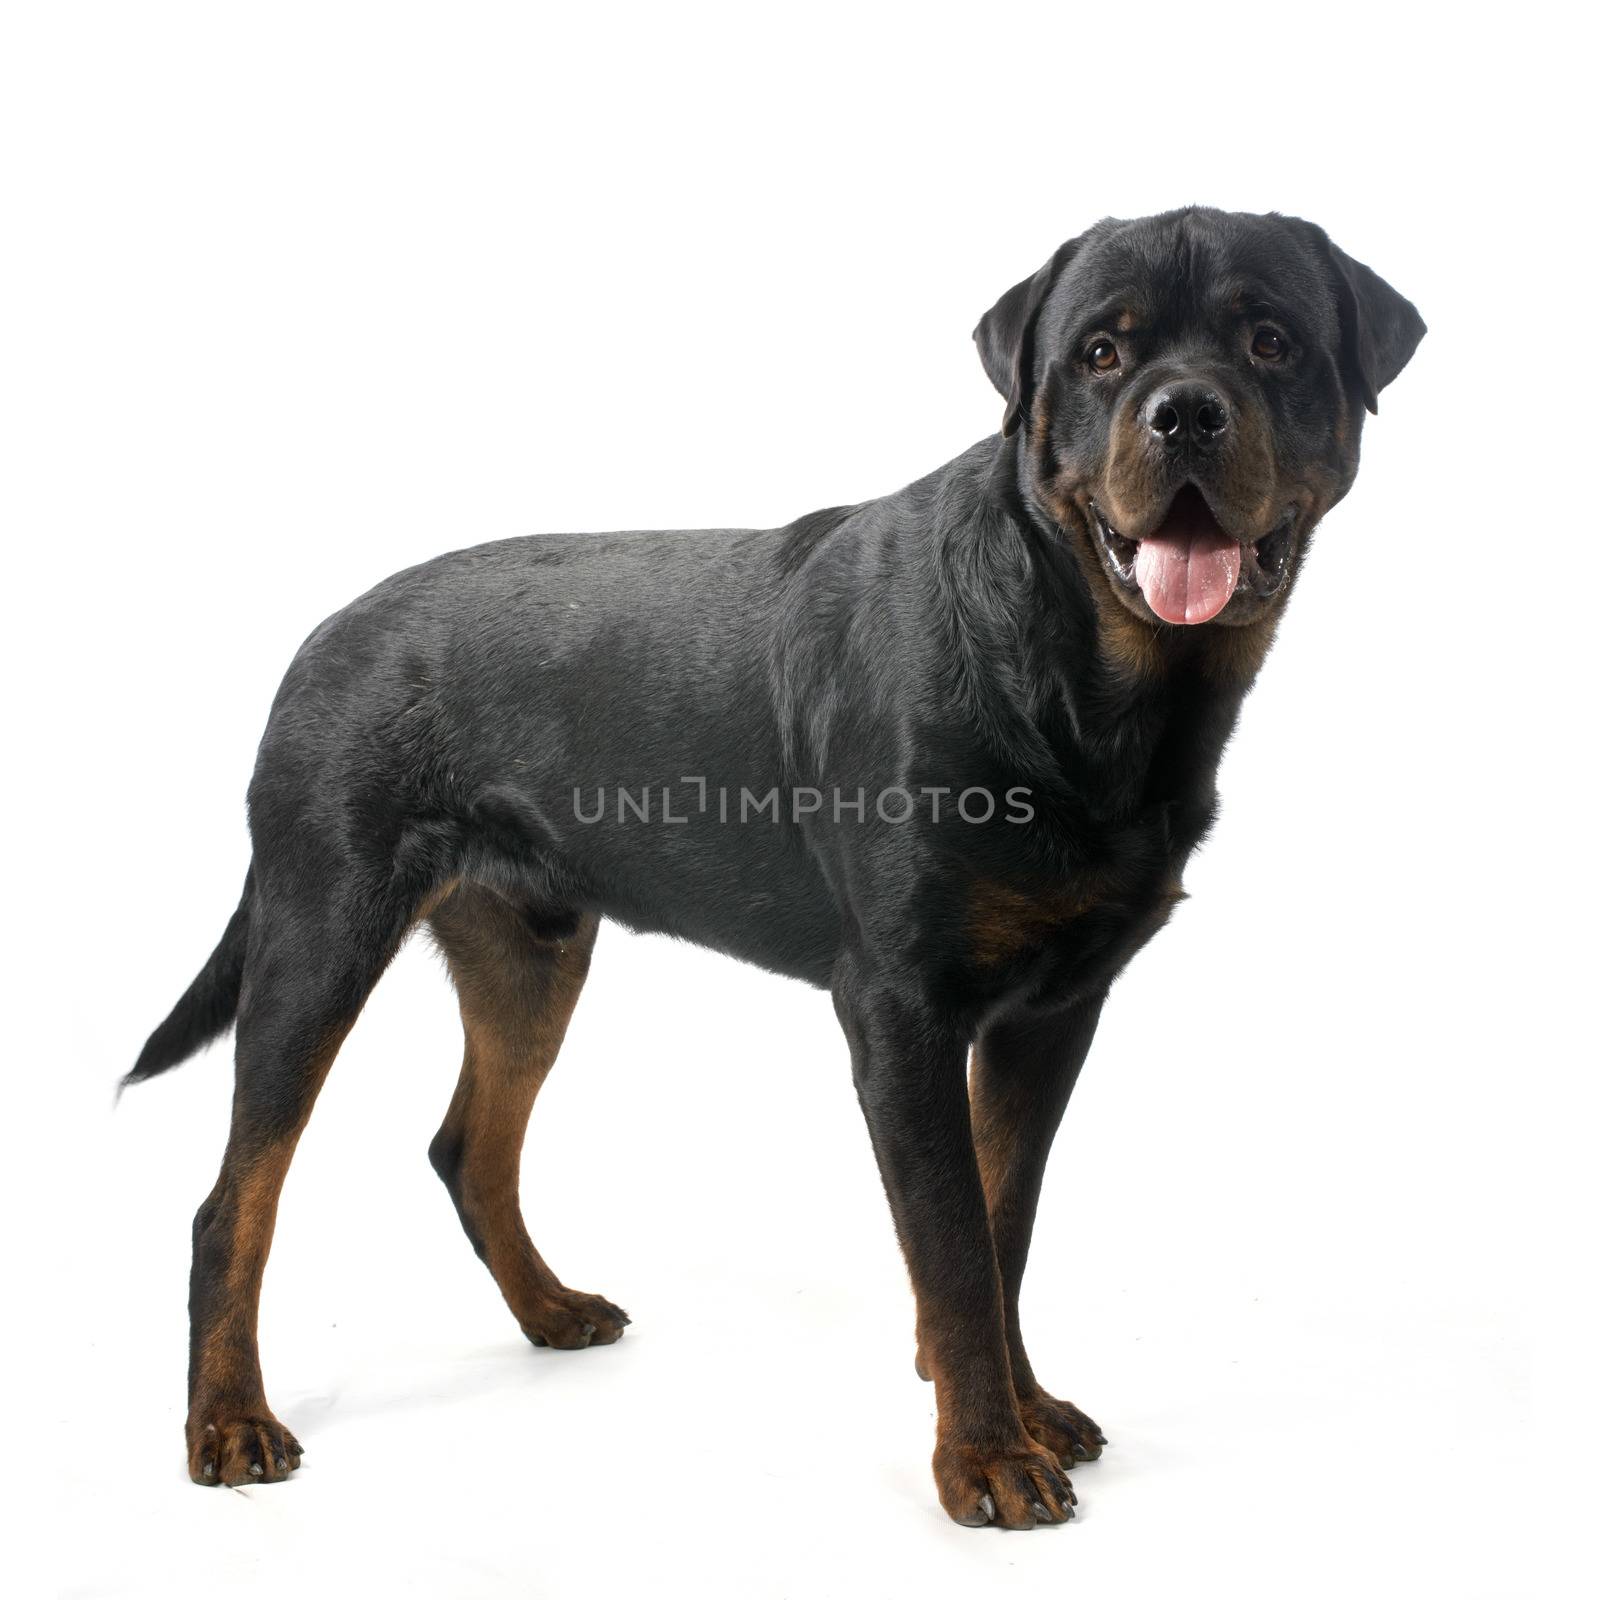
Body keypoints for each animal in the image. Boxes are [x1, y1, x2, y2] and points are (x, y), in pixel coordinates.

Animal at [128, 203, 1427, 1523]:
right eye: (1101, 354)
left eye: (1270, 341)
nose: (1185, 413)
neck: (1080, 671)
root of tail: (319, 636)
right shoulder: (899, 1007)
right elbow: (954, 1242)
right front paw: (985, 1456)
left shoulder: (1053, 1008)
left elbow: (1001, 1220)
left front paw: (1024, 1410)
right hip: (318, 930)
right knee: (233, 1200)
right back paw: (230, 1421)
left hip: (528, 950)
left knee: (468, 1147)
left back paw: (550, 1309)